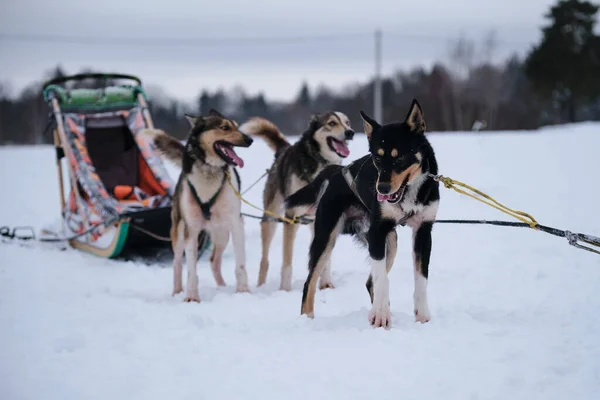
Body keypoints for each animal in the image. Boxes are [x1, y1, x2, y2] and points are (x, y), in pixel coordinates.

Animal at [144, 108, 254, 300]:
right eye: (224, 127)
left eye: (237, 126)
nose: (249, 140)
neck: (209, 171)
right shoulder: (192, 229)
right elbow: (191, 271)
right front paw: (191, 297)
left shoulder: (236, 224)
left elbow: (240, 264)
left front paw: (243, 292)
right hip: (179, 234)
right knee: (177, 263)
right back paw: (177, 291)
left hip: (222, 234)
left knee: (214, 260)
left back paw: (222, 288)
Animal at [239, 111, 354, 290]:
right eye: (332, 123)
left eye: (347, 123)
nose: (350, 132)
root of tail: (283, 151)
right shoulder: (291, 218)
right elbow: (287, 261)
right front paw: (285, 290)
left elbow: (325, 259)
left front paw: (326, 285)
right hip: (271, 220)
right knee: (264, 259)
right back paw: (261, 285)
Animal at [286, 100, 440, 328]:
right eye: (377, 158)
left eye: (400, 157)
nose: (382, 188)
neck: (408, 195)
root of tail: (334, 172)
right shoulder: (378, 231)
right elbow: (381, 279)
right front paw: (381, 316)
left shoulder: (423, 231)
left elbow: (421, 278)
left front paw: (422, 316)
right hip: (327, 237)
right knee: (310, 282)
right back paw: (308, 319)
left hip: (390, 241)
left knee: (370, 282)